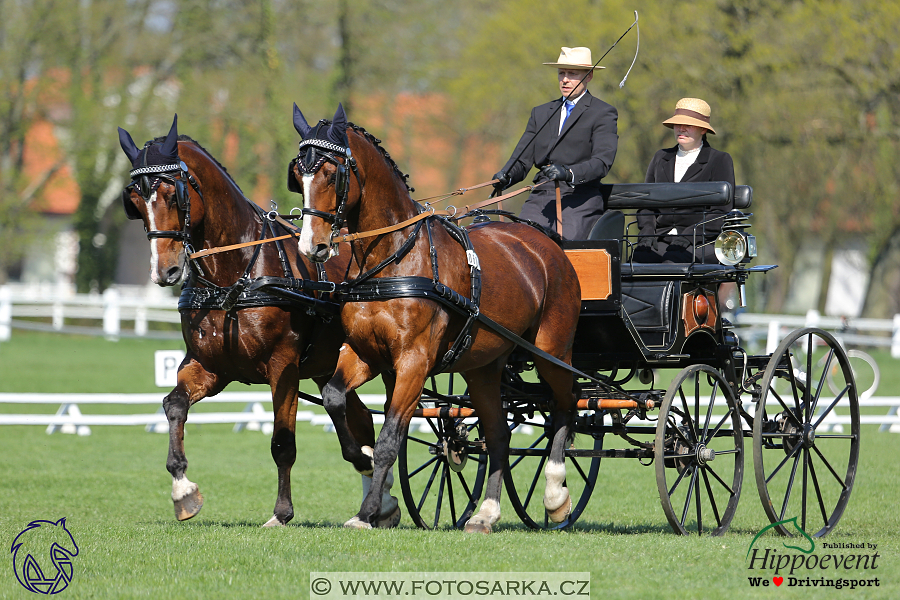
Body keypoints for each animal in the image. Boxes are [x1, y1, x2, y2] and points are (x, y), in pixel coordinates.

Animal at [118, 115, 400, 528]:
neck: (236, 276)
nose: (164, 271)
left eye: (173, 195)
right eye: (135, 202)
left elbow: (282, 442)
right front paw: (183, 490)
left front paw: (281, 513)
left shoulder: (283, 367)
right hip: (327, 366)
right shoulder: (209, 367)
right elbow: (174, 405)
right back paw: (381, 502)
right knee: (358, 418)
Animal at [288, 104, 584, 536]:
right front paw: (360, 460)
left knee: (566, 405)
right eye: (298, 175)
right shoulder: (366, 354)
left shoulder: (414, 361)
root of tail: (548, 244)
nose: (312, 246)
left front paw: (369, 511)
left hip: (553, 351)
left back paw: (556, 496)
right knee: (498, 434)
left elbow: (390, 439)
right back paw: (485, 513)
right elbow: (334, 398)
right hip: (484, 368)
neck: (392, 258)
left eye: (331, 173)